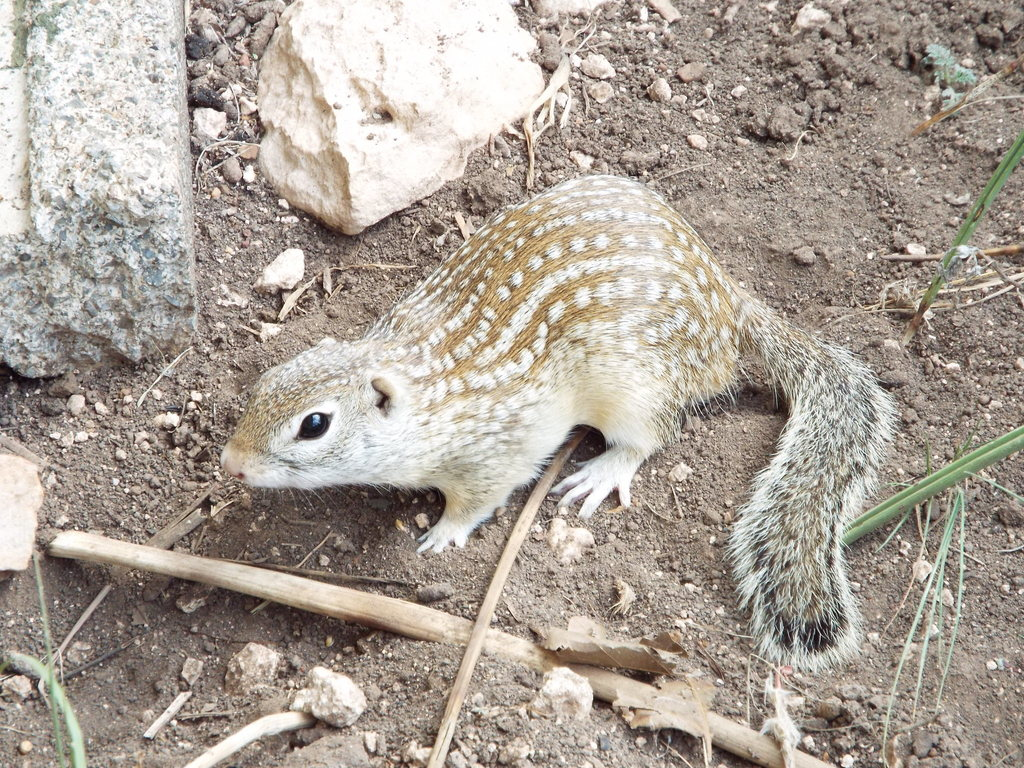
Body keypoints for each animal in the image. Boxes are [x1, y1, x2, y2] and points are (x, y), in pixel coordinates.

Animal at [221, 175, 897, 671]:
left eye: (314, 424)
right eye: (263, 384)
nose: (230, 464)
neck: (427, 391)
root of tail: (730, 302)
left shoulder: (493, 455)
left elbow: (477, 500)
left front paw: (443, 532)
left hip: (636, 390)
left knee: (656, 435)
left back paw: (601, 471)